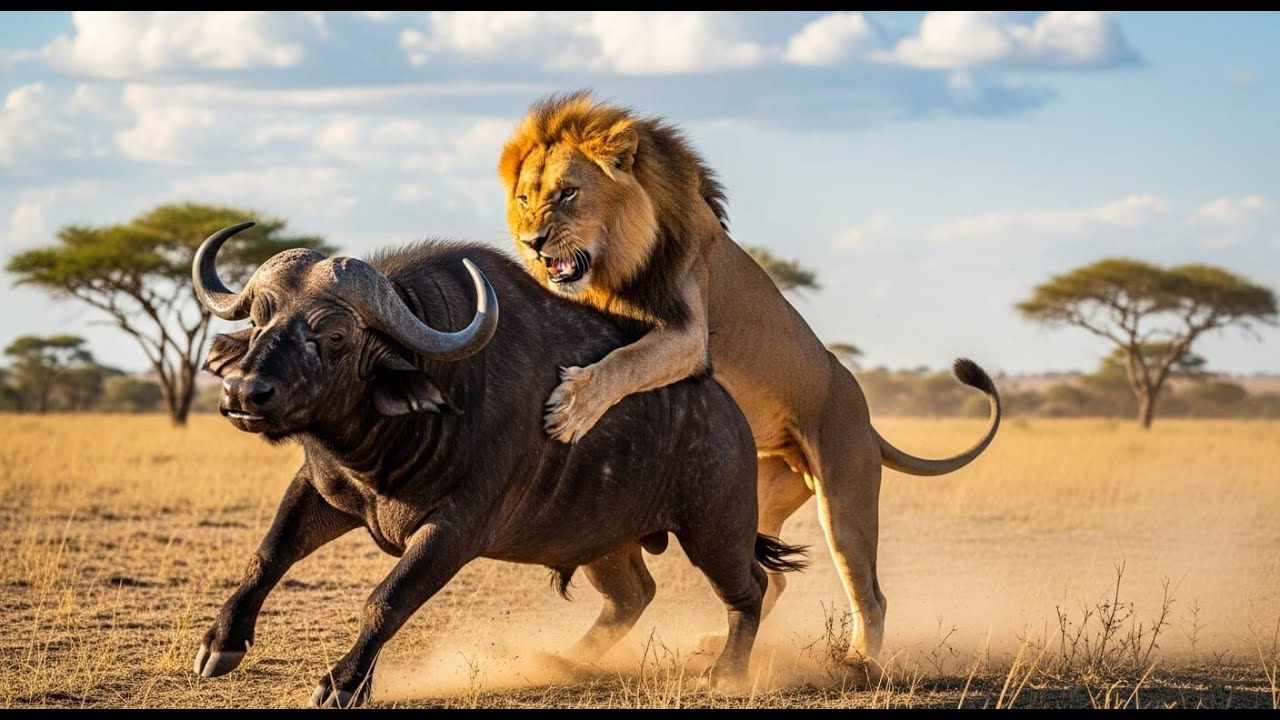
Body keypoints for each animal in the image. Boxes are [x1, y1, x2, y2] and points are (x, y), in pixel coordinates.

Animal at [497, 89, 1001, 674]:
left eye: (568, 193)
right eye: (526, 198)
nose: (532, 243)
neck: (616, 265)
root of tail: (868, 421)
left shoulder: (688, 337)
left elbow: (625, 362)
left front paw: (571, 408)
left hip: (844, 499)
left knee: (868, 592)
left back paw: (856, 661)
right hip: (761, 489)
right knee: (771, 577)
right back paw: (715, 642)